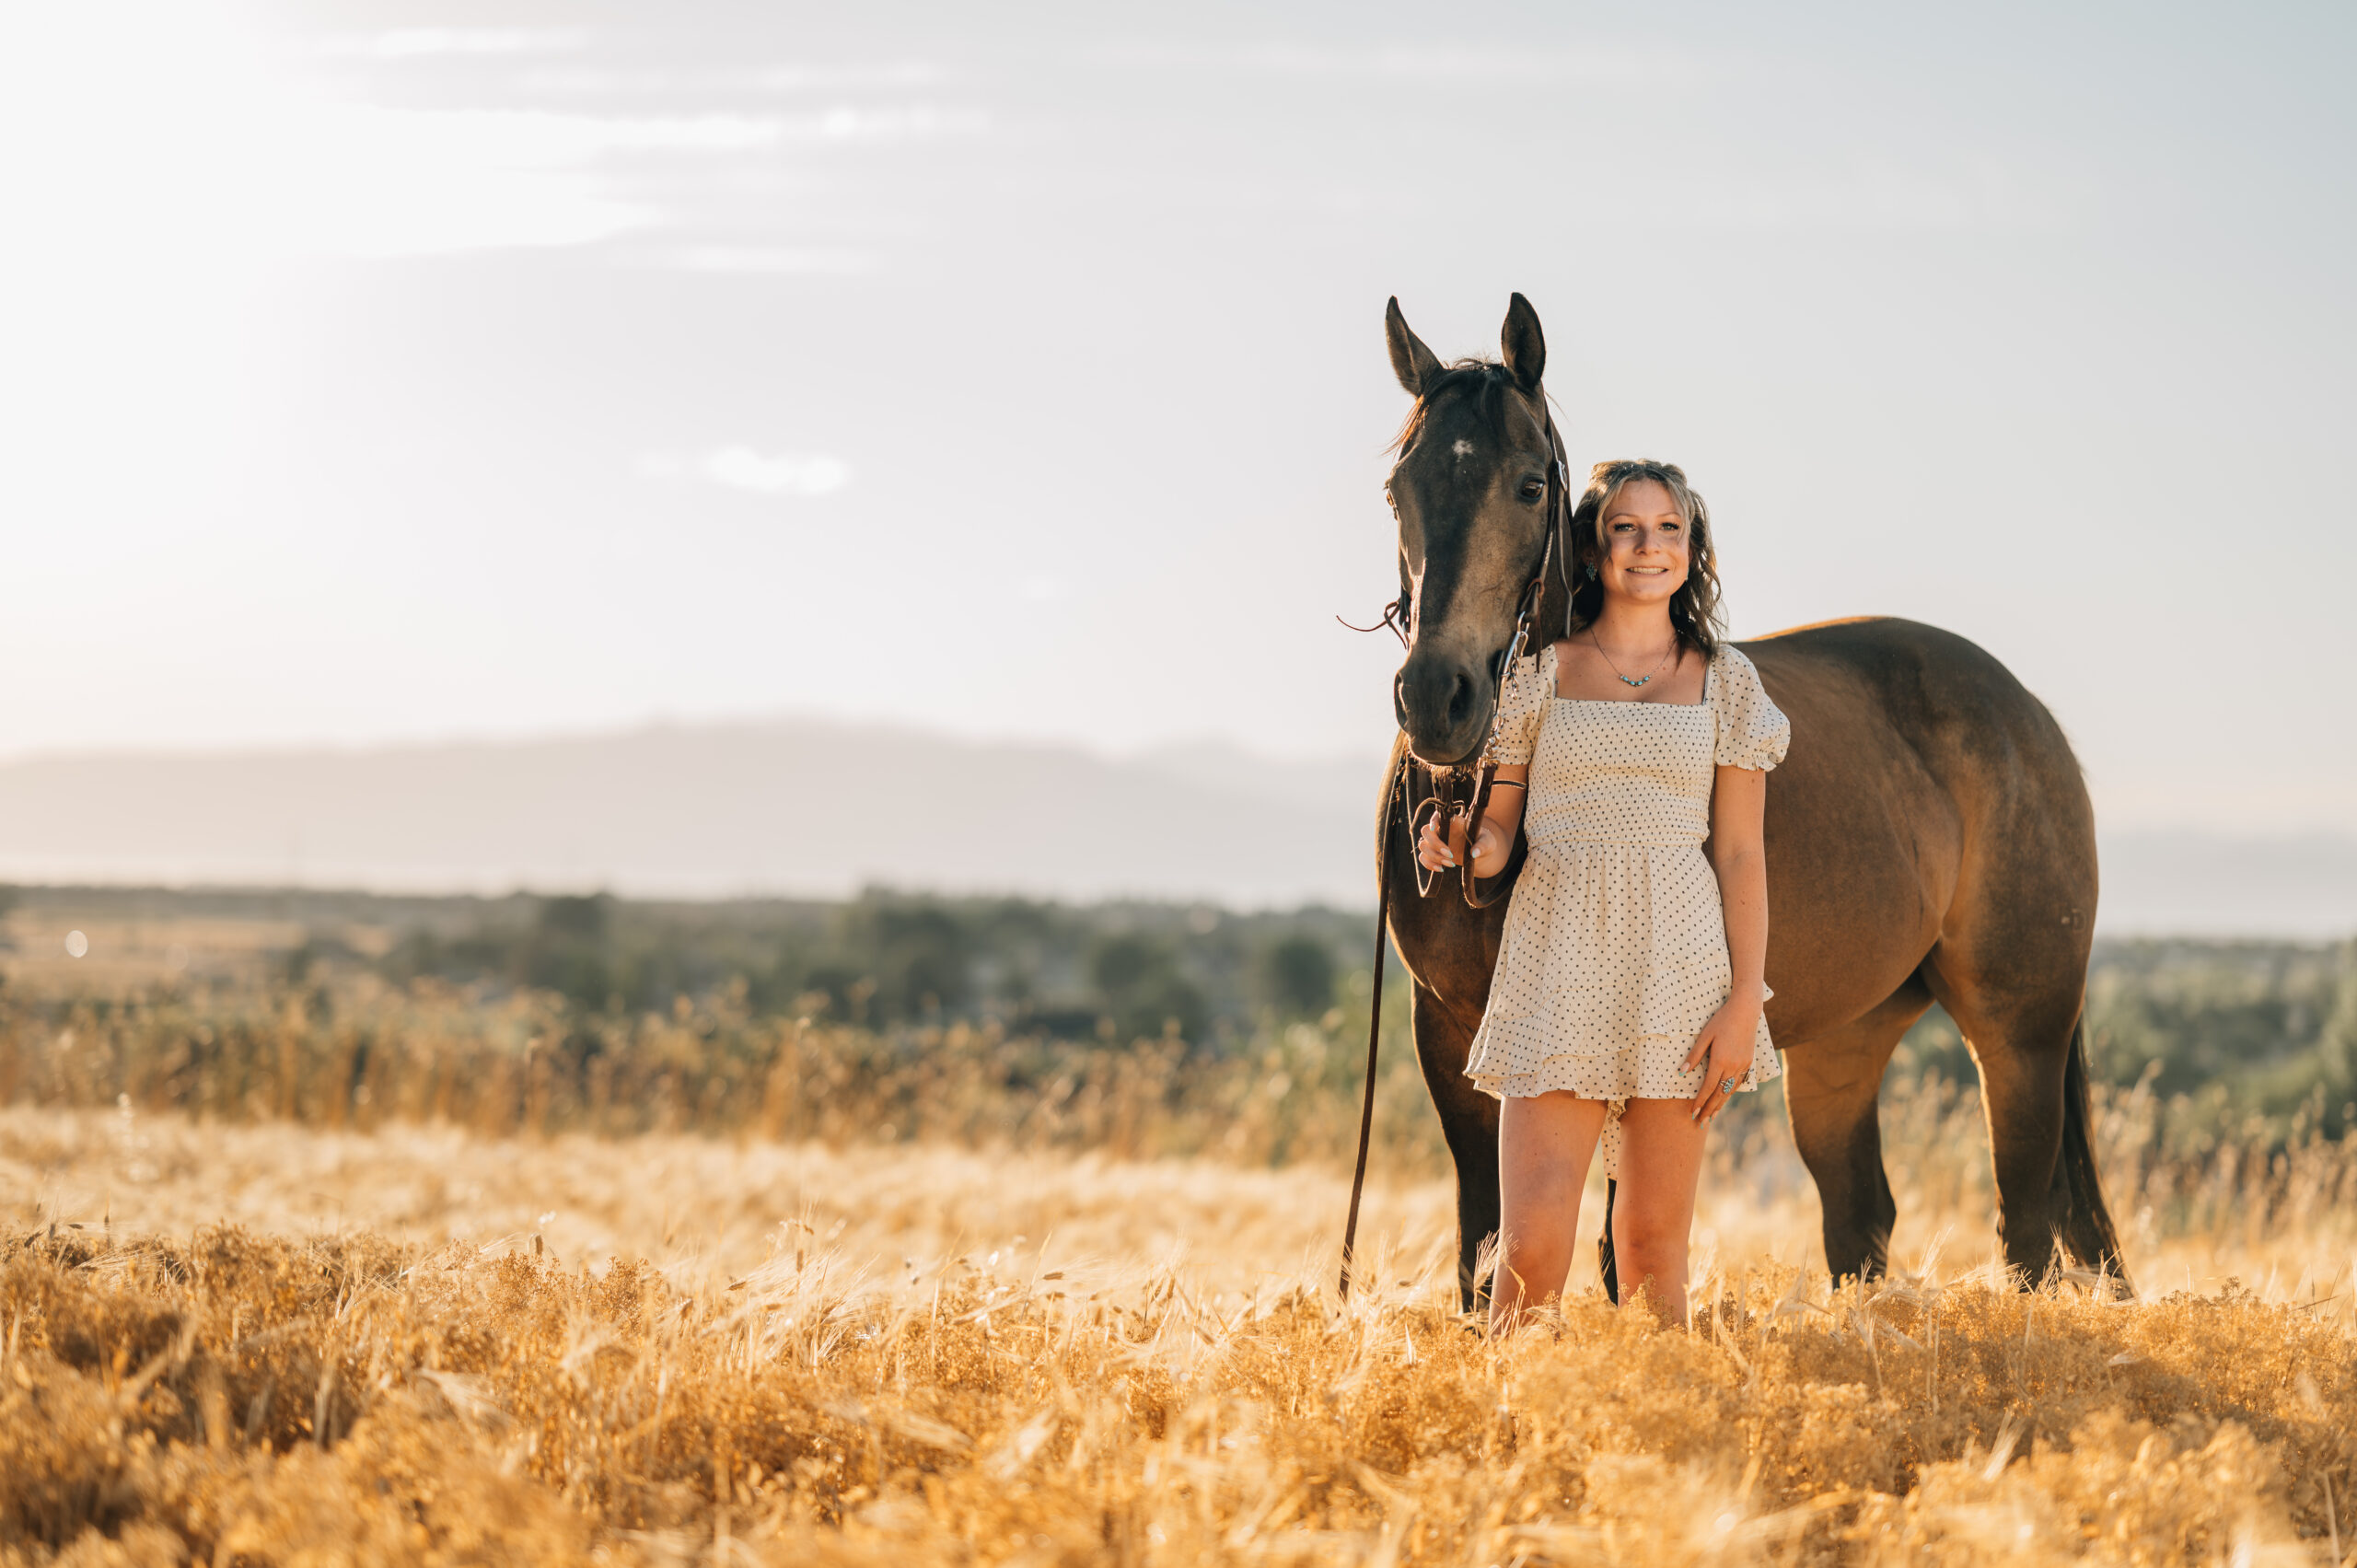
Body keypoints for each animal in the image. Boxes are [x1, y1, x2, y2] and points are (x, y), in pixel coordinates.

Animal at [1370, 292, 2128, 1312]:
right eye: (1397, 490)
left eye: (1528, 486)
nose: (1436, 699)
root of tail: (2029, 716)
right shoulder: (1452, 1037)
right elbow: (1484, 1251)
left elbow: (1614, 1255)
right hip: (1845, 1043)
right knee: (1862, 1218)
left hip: (2020, 1034)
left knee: (2029, 1233)